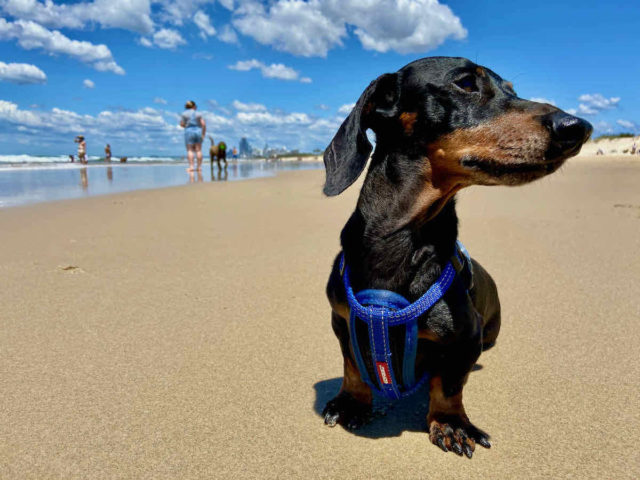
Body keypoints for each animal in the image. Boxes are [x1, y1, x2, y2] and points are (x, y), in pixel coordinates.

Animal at [322, 56, 592, 458]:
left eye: (511, 89)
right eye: (465, 83)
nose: (579, 127)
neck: (399, 239)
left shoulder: (467, 336)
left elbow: (448, 383)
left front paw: (451, 423)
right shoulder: (340, 319)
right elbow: (352, 364)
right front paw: (352, 402)